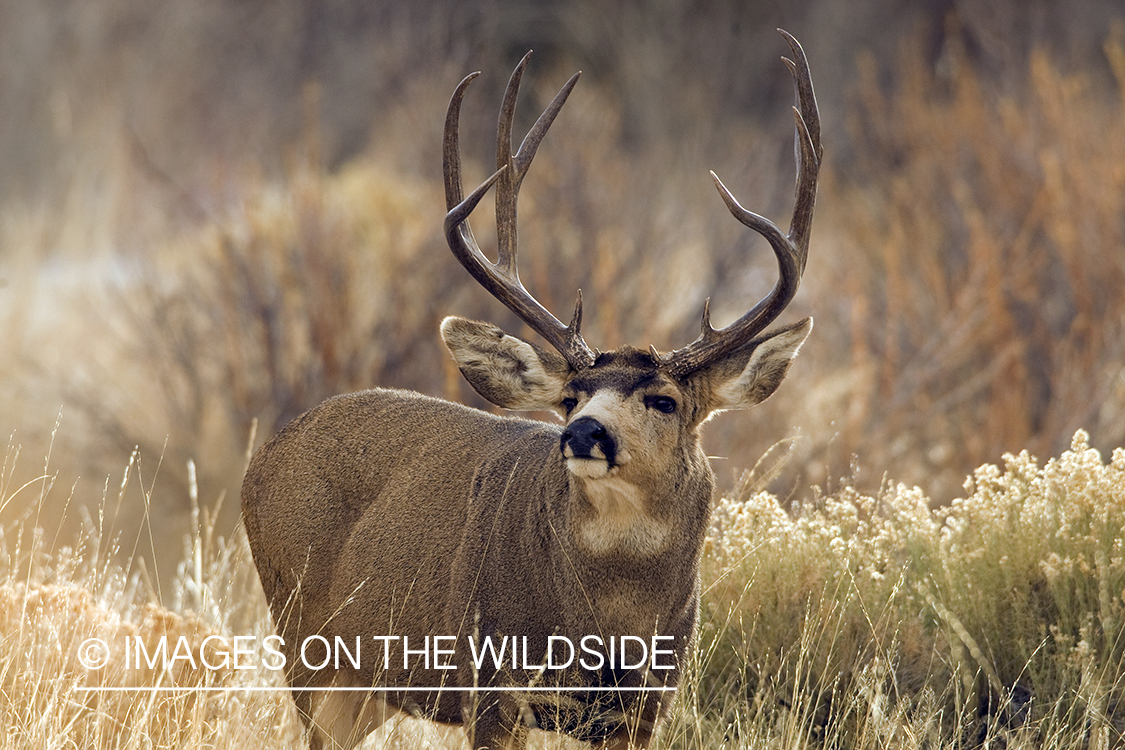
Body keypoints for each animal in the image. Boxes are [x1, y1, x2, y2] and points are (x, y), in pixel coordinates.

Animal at [241, 29, 820, 750]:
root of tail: (262, 460)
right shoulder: (493, 685)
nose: (583, 432)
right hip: (309, 646)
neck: (608, 630)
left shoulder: (646, 708)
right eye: (570, 396)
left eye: (663, 400)